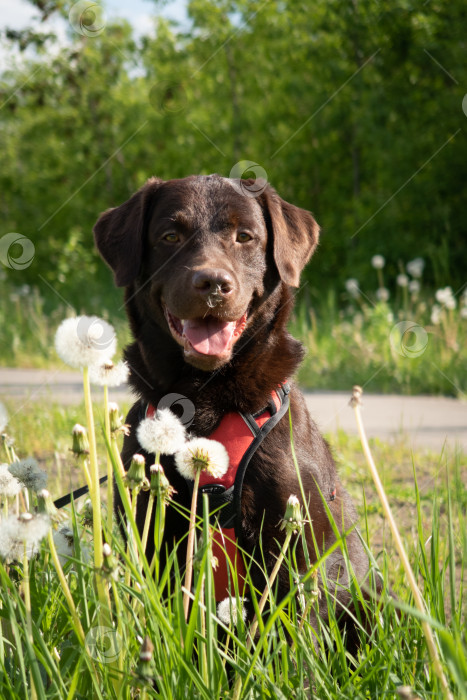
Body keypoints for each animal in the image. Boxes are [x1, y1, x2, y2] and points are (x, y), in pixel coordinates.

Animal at [94, 175, 376, 644]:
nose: (212, 283)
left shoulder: (297, 552)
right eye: (170, 236)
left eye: (244, 237)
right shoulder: (150, 537)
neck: (204, 400)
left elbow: (294, 642)